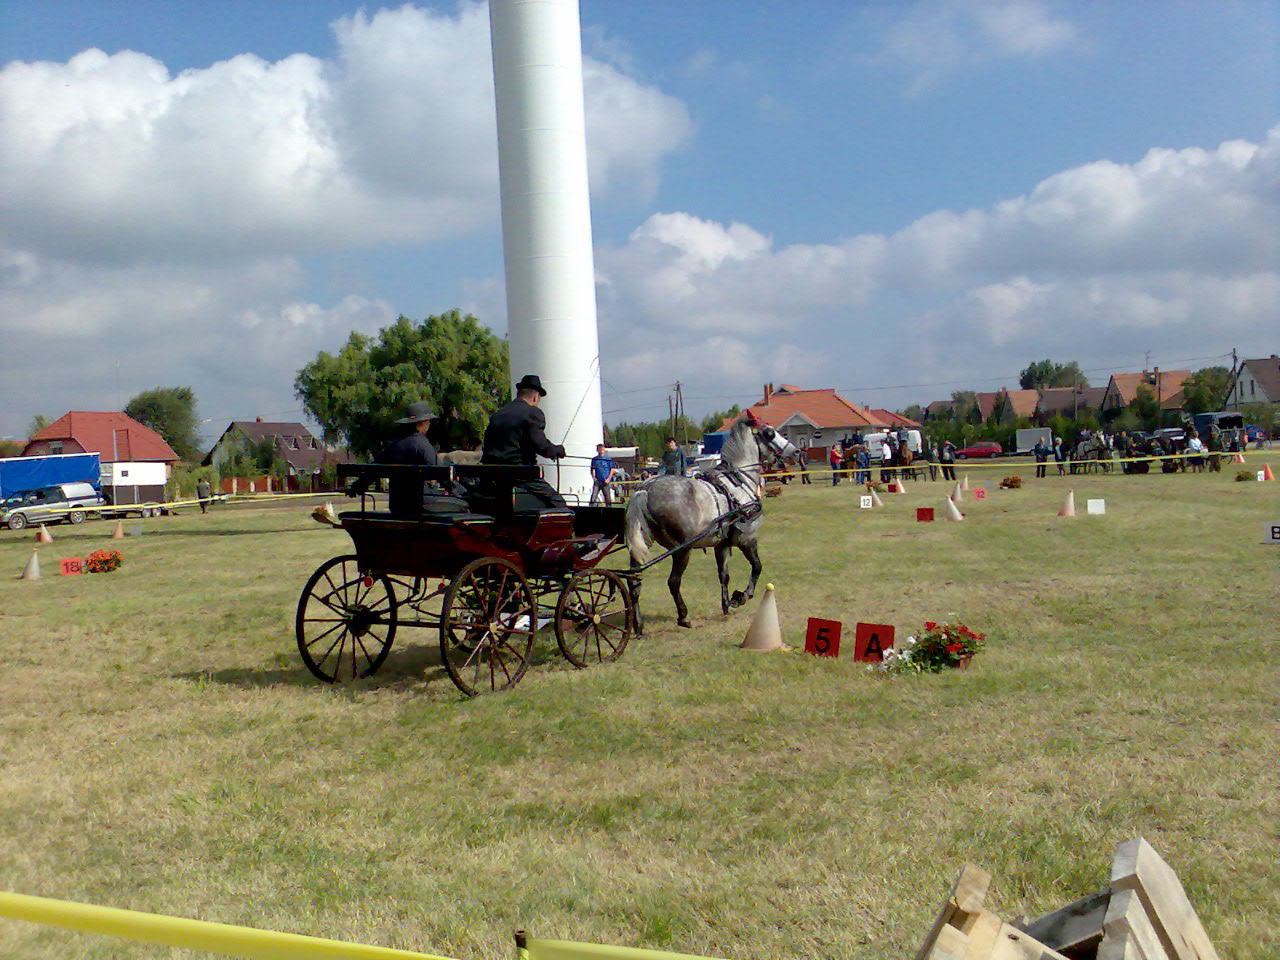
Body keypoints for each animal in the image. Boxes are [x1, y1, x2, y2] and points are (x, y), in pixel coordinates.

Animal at [622, 419, 793, 632]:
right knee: (673, 582)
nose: (794, 451)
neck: (739, 482)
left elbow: (724, 575)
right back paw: (683, 617)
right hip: (682, 550)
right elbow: (757, 567)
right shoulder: (747, 539)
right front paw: (742, 597)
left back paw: (638, 625)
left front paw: (727, 605)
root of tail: (645, 489)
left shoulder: (722, 544)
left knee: (634, 581)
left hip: (643, 544)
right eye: (770, 433)